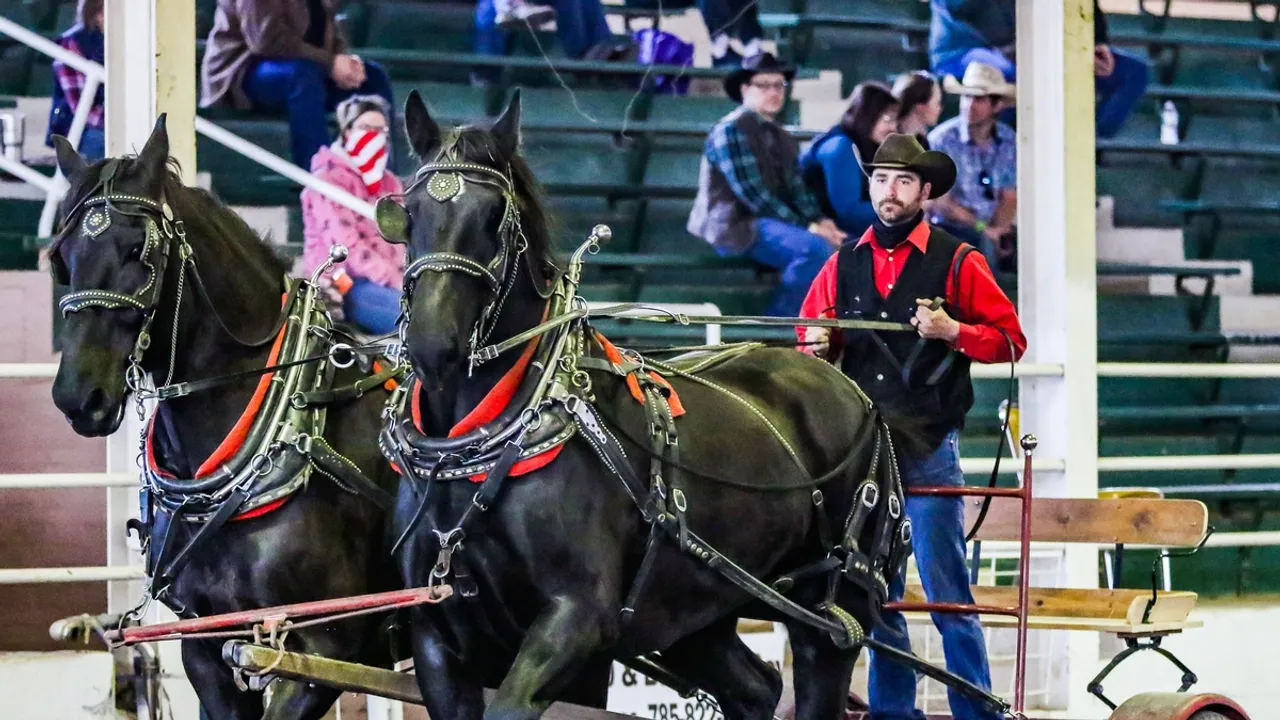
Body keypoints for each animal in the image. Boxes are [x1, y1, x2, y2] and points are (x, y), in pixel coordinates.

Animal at [377, 88, 920, 720]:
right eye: (407, 216)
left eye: (494, 218)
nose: (433, 344)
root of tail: (852, 391)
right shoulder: (436, 638)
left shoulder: (577, 617)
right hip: (694, 607)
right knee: (756, 687)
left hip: (832, 609)